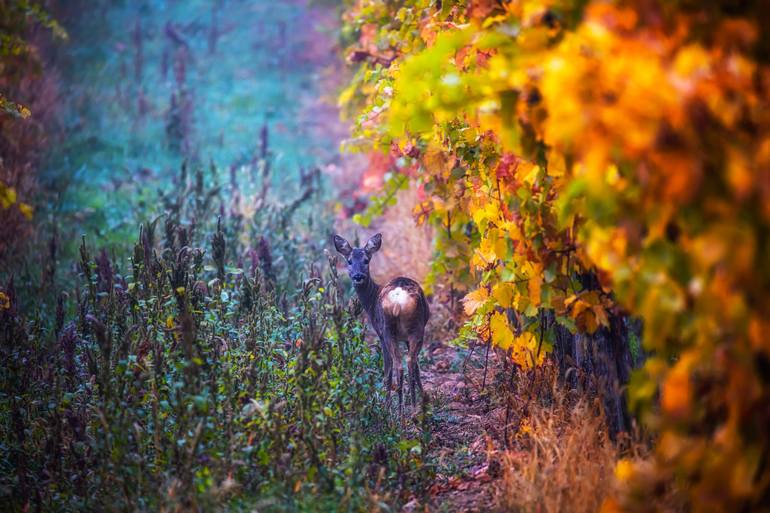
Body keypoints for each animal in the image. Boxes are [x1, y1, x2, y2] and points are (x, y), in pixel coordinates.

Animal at [332, 234, 428, 418]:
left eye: (366, 260)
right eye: (349, 261)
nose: (358, 276)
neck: (371, 300)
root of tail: (398, 302)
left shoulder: (380, 333)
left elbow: (386, 371)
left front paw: (386, 405)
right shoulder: (403, 338)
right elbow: (418, 368)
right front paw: (425, 398)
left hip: (392, 330)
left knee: (398, 365)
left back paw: (400, 413)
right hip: (414, 330)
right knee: (410, 362)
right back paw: (413, 409)